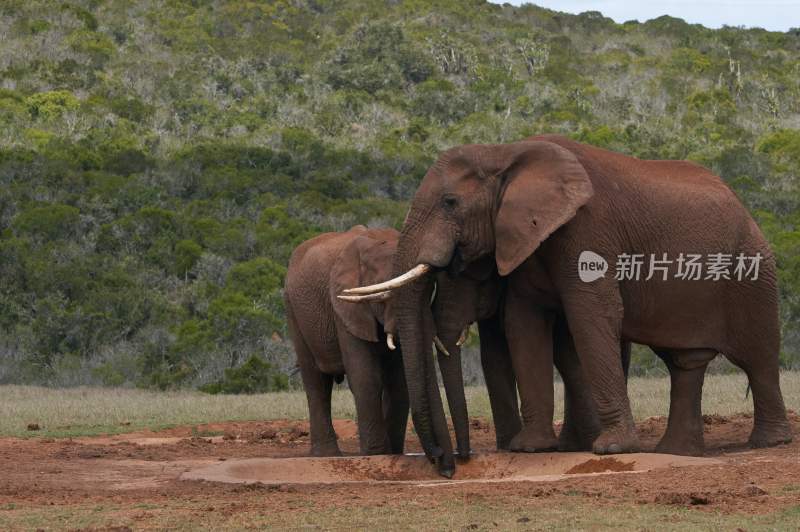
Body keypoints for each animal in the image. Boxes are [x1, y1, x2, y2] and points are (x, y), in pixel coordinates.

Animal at [282, 227, 406, 456]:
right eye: (383, 296)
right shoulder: (343, 304)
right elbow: (365, 376)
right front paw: (376, 454)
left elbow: (398, 380)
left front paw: (391, 454)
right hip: (293, 310)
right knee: (316, 383)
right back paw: (326, 455)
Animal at [346, 135, 792, 476]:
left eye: (450, 202)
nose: (447, 463)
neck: (505, 152)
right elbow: (524, 324)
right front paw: (531, 448)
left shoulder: (588, 229)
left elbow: (592, 317)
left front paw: (611, 450)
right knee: (686, 362)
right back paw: (677, 453)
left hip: (752, 270)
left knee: (758, 355)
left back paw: (768, 443)